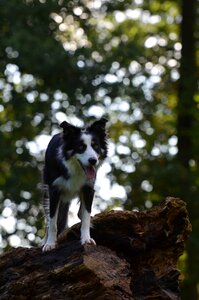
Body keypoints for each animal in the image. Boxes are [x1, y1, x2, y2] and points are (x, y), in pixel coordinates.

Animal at [41, 117, 107, 251]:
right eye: (81, 147)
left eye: (95, 146)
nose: (93, 161)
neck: (75, 168)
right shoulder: (54, 190)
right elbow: (53, 221)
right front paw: (49, 244)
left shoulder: (88, 188)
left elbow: (86, 216)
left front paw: (86, 239)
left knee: (80, 213)